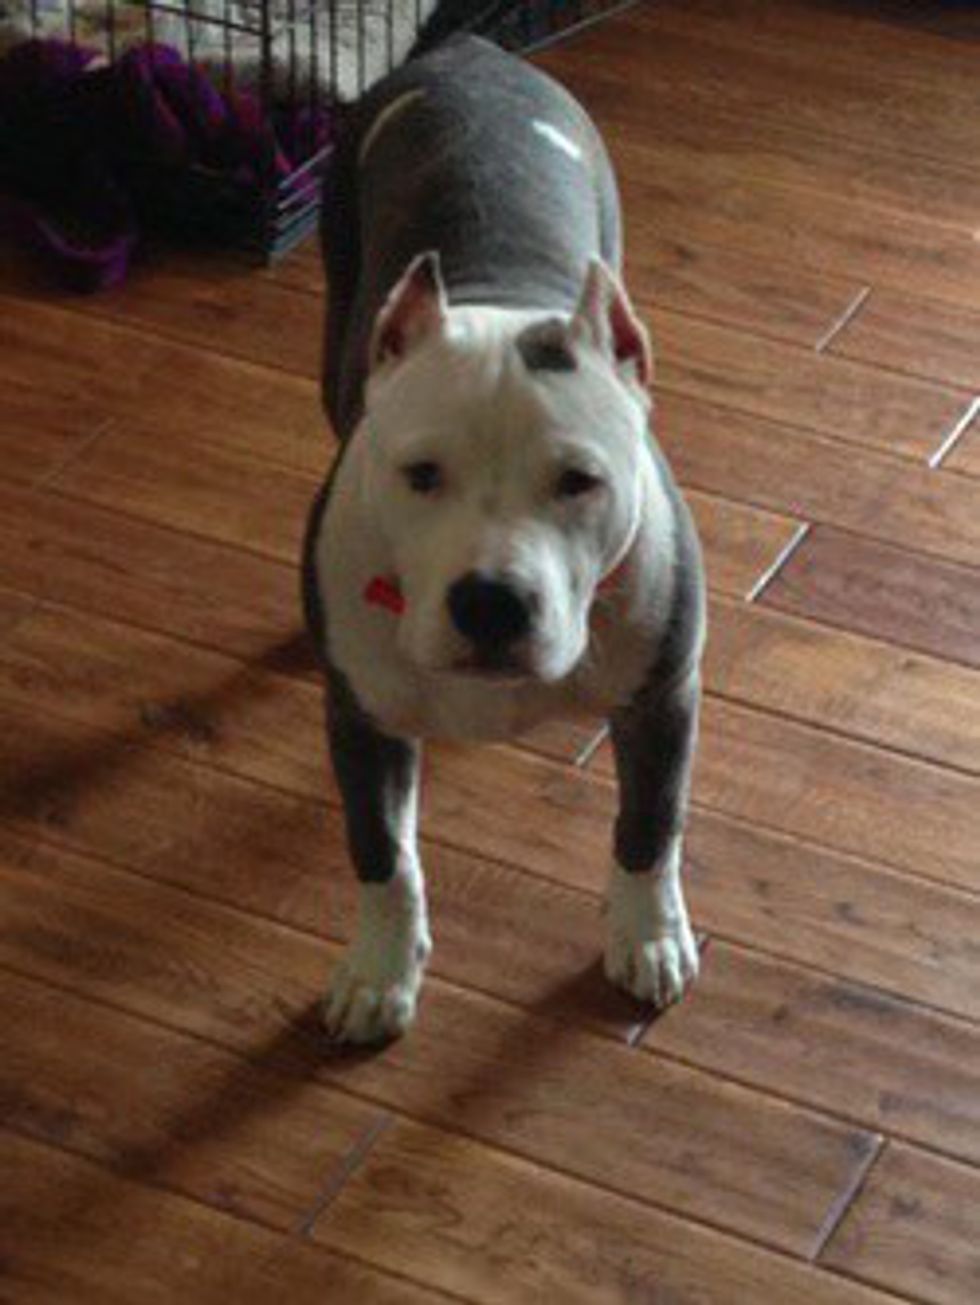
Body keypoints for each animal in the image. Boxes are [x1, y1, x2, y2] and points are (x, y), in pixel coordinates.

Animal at [303, 35, 705, 1044]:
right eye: (419, 474)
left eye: (579, 481)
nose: (490, 600)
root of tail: (467, 47)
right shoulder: (359, 718)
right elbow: (381, 855)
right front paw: (378, 971)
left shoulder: (663, 697)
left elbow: (650, 829)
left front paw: (647, 937)